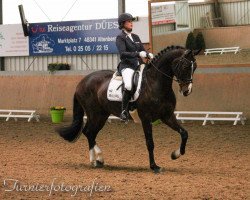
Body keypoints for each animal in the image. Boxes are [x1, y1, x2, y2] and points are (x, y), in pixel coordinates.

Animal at [57, 45, 201, 173]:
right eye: (185, 66)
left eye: (195, 67)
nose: (186, 91)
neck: (155, 83)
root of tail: (82, 82)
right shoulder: (146, 118)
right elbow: (150, 142)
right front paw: (154, 166)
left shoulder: (167, 116)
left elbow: (184, 133)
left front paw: (175, 154)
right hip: (95, 114)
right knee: (88, 132)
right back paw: (96, 159)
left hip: (102, 115)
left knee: (90, 133)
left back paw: (97, 160)